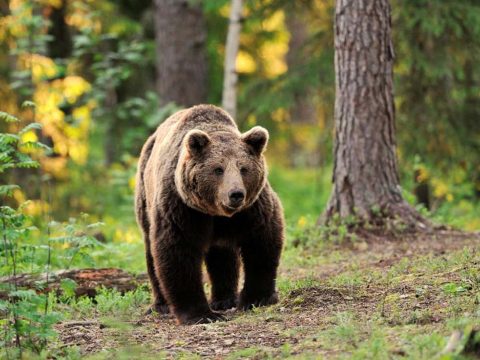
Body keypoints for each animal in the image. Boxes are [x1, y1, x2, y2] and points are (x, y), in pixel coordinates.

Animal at [135, 105, 284, 326]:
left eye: (243, 168)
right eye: (218, 169)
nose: (236, 194)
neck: (216, 212)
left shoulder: (252, 208)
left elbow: (261, 241)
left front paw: (257, 298)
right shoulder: (182, 207)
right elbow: (178, 251)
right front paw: (200, 314)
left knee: (222, 254)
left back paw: (225, 299)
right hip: (145, 195)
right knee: (151, 251)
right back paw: (161, 304)